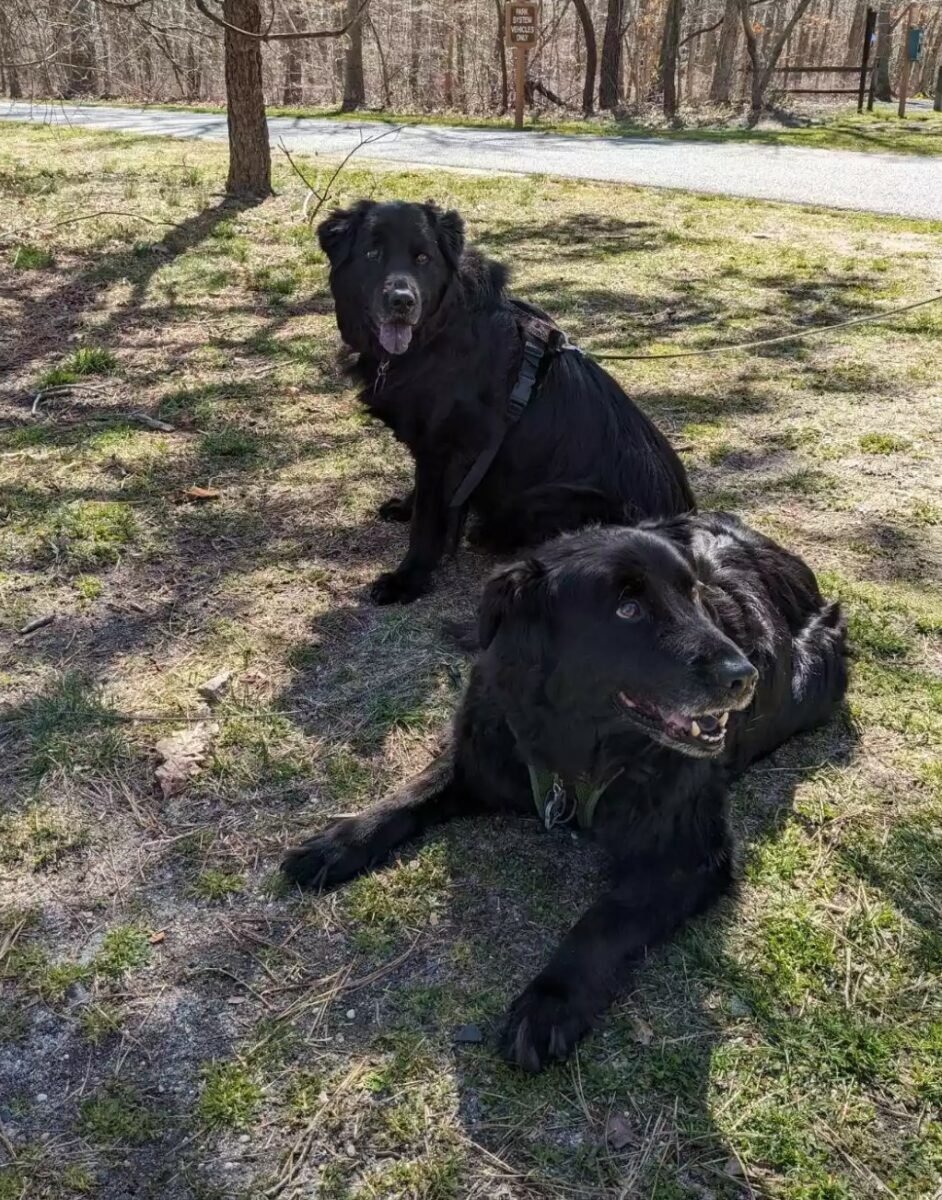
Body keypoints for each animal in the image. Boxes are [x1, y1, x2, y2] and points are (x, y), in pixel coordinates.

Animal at [279, 513, 844, 1070]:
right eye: (627, 609)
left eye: (694, 595)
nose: (743, 676)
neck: (578, 746)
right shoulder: (483, 755)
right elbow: (412, 793)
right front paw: (340, 841)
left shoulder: (688, 855)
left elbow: (603, 920)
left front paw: (552, 999)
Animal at [316, 202, 691, 609]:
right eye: (373, 253)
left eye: (423, 258)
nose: (402, 301)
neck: (439, 330)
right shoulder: (432, 446)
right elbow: (422, 497)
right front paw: (404, 508)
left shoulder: (448, 450)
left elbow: (429, 521)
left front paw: (408, 579)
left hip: (554, 499)